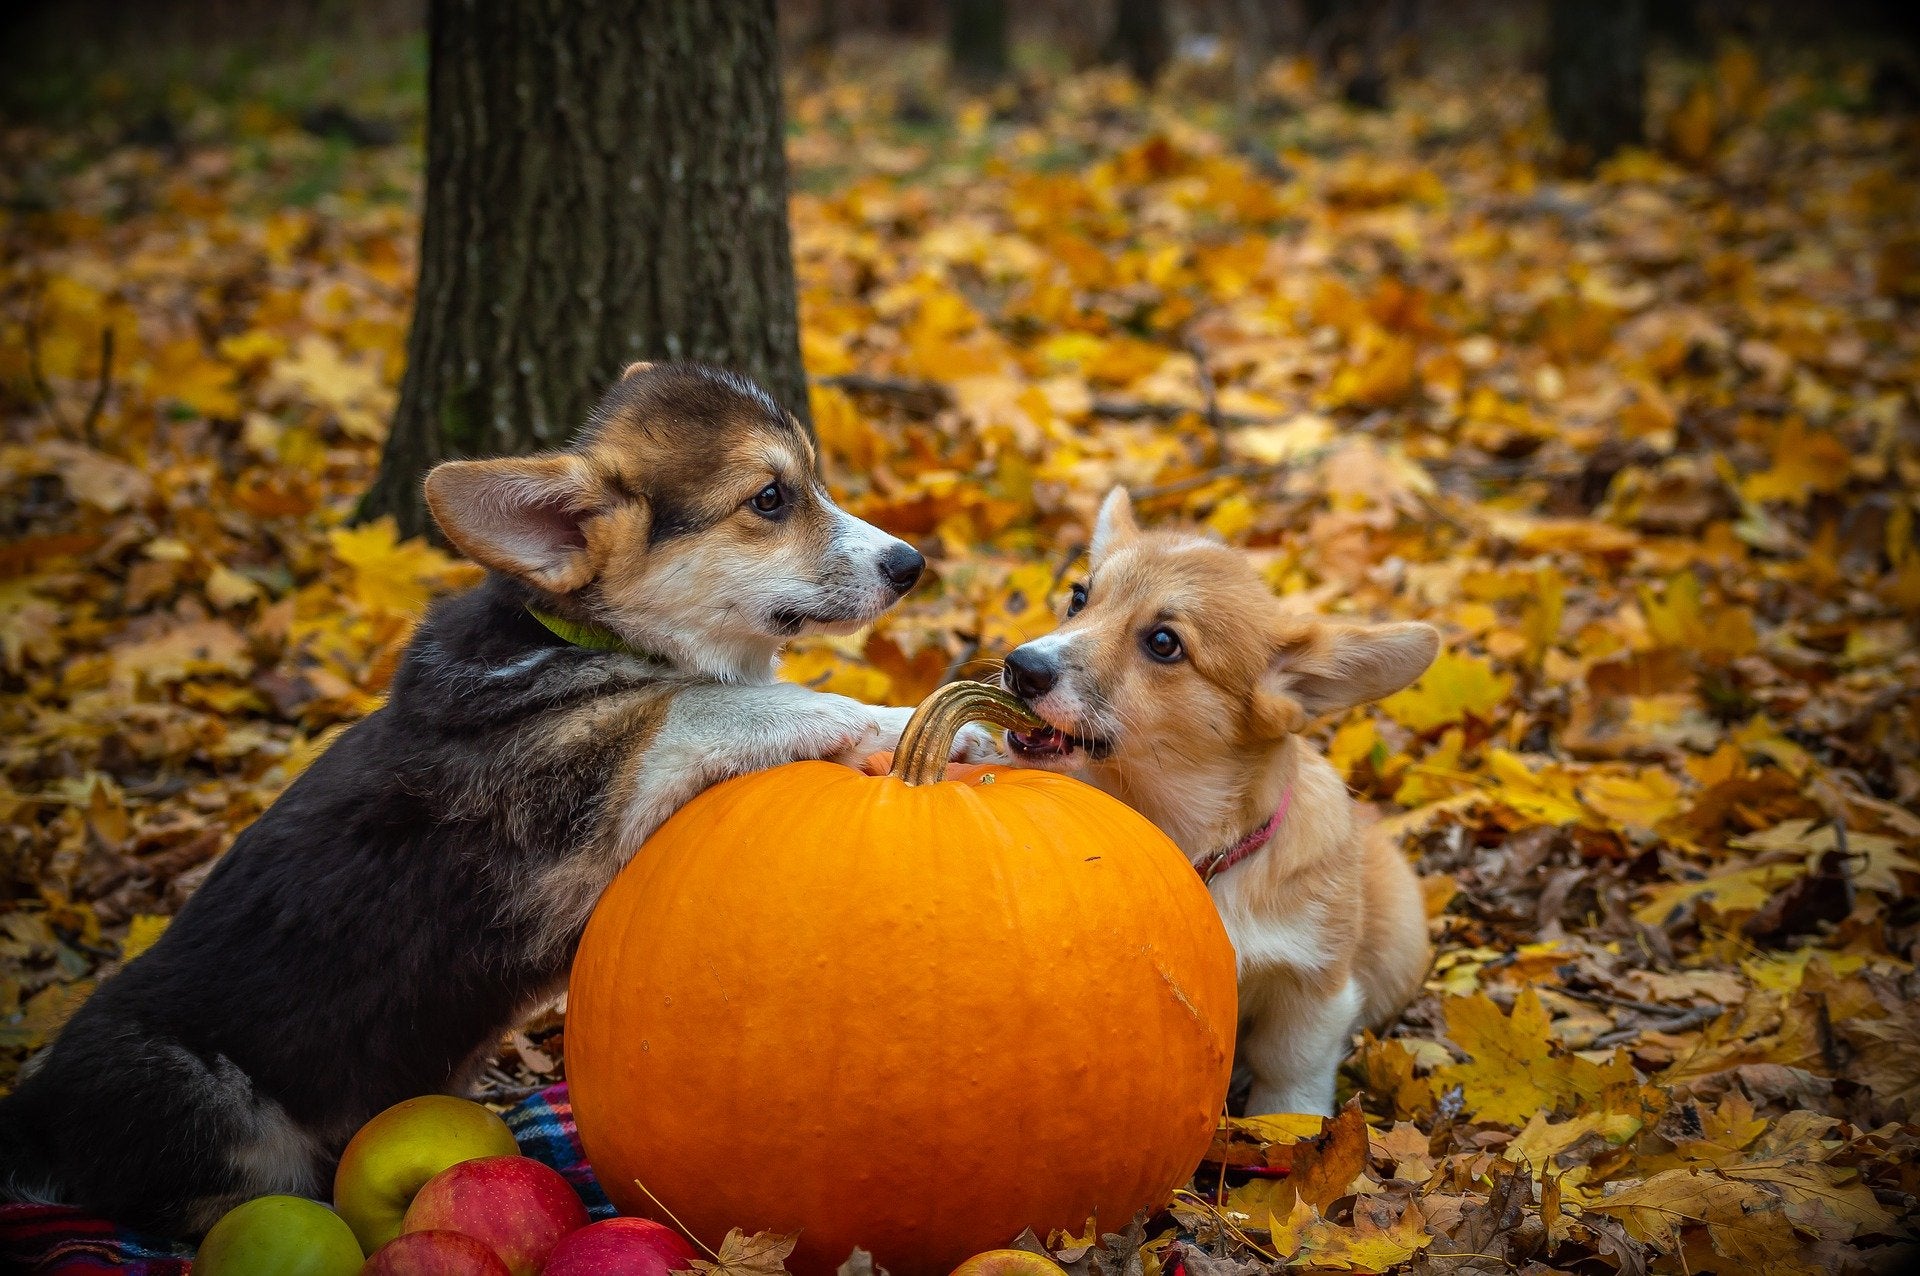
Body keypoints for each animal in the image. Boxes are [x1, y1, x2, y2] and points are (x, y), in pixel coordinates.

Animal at [0, 360, 990, 1235]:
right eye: (771, 499)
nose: (913, 564)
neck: (581, 637)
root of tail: (28, 1119)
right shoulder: (589, 799)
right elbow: (713, 703)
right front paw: (913, 720)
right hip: (203, 1099)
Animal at [998, 487, 1436, 1112]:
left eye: (1164, 643)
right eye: (1079, 598)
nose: (1019, 667)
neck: (1184, 830)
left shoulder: (1313, 985)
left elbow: (1290, 1069)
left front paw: (1288, 1126)